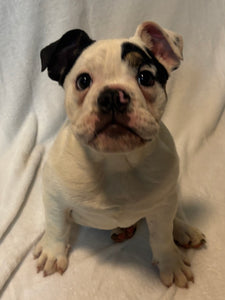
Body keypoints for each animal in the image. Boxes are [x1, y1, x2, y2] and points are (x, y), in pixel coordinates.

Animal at [33, 21, 206, 288]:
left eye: (145, 77)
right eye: (83, 81)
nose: (113, 95)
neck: (115, 161)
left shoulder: (162, 205)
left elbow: (162, 236)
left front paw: (171, 262)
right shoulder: (54, 198)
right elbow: (56, 225)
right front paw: (53, 252)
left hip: (168, 195)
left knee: (172, 214)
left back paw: (183, 229)